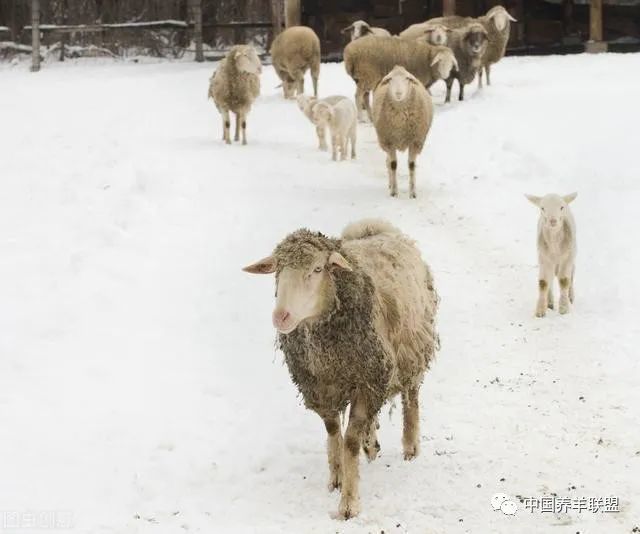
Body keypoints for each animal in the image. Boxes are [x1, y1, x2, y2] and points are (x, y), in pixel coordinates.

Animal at [242, 218, 438, 520]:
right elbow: (334, 431)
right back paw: (372, 445)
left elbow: (350, 441)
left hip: (411, 350)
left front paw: (348, 503)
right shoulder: (321, 386)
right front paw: (337, 477)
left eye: (317, 269)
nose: (281, 317)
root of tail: (375, 228)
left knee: (411, 397)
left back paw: (410, 446)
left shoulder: (366, 382)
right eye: (278, 269)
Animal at [370, 65, 436, 199]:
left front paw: (413, 193)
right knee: (388, 162)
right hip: (385, 141)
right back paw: (390, 184)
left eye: (407, 79)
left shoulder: (415, 142)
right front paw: (394, 192)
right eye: (390, 79)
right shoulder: (389, 141)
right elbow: (393, 164)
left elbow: (411, 166)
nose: (398, 93)